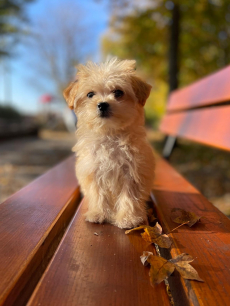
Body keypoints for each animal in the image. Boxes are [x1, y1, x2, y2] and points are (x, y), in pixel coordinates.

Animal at [63, 58, 155, 230]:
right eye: (90, 94)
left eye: (118, 92)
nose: (103, 104)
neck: (109, 135)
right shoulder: (93, 171)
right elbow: (97, 194)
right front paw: (98, 213)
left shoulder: (132, 173)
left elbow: (129, 197)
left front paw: (128, 218)